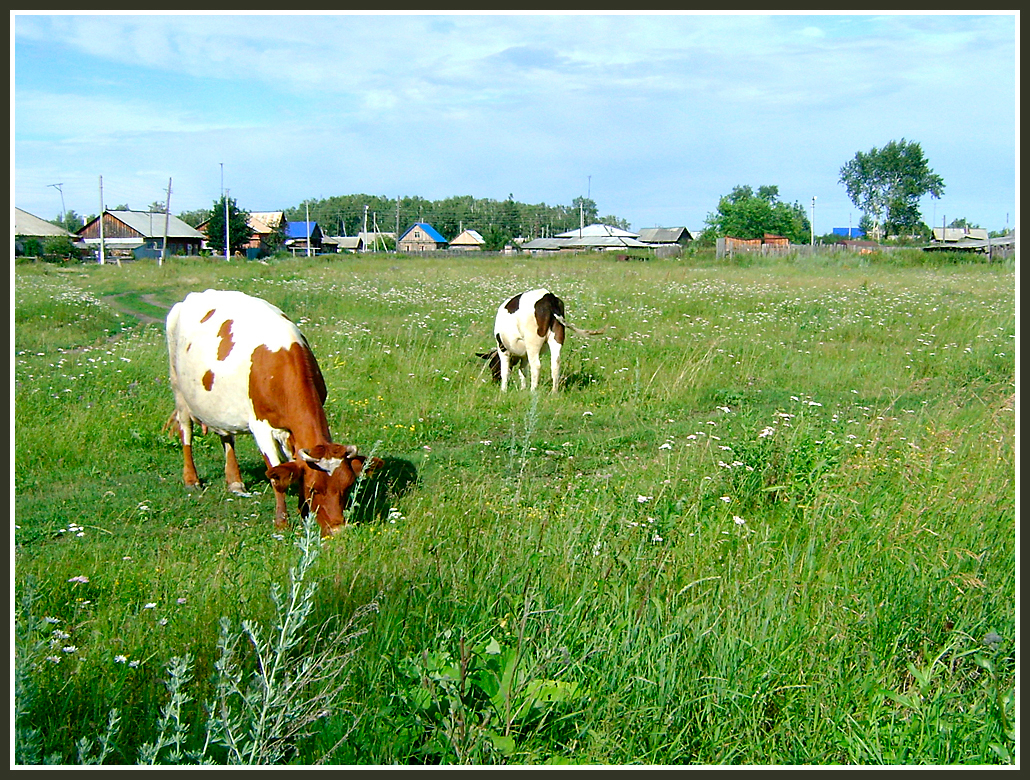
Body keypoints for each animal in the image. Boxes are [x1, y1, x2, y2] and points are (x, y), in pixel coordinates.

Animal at [164, 288, 379, 539]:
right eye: (314, 489)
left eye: (347, 486)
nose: (338, 530)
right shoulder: (261, 427)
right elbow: (276, 476)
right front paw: (282, 522)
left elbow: (294, 466)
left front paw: (303, 512)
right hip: (178, 389)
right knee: (186, 430)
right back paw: (191, 479)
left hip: (219, 404)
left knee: (226, 437)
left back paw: (235, 481)